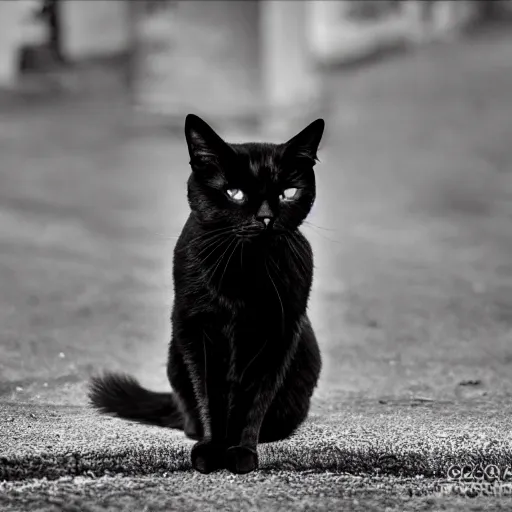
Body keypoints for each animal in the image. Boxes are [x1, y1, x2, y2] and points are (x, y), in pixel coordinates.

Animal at [89, 114, 324, 474]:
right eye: (235, 193)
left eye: (288, 193)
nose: (266, 218)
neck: (244, 271)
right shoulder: (197, 329)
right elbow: (210, 393)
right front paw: (212, 449)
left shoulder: (278, 333)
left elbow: (253, 399)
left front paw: (241, 451)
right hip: (176, 355)